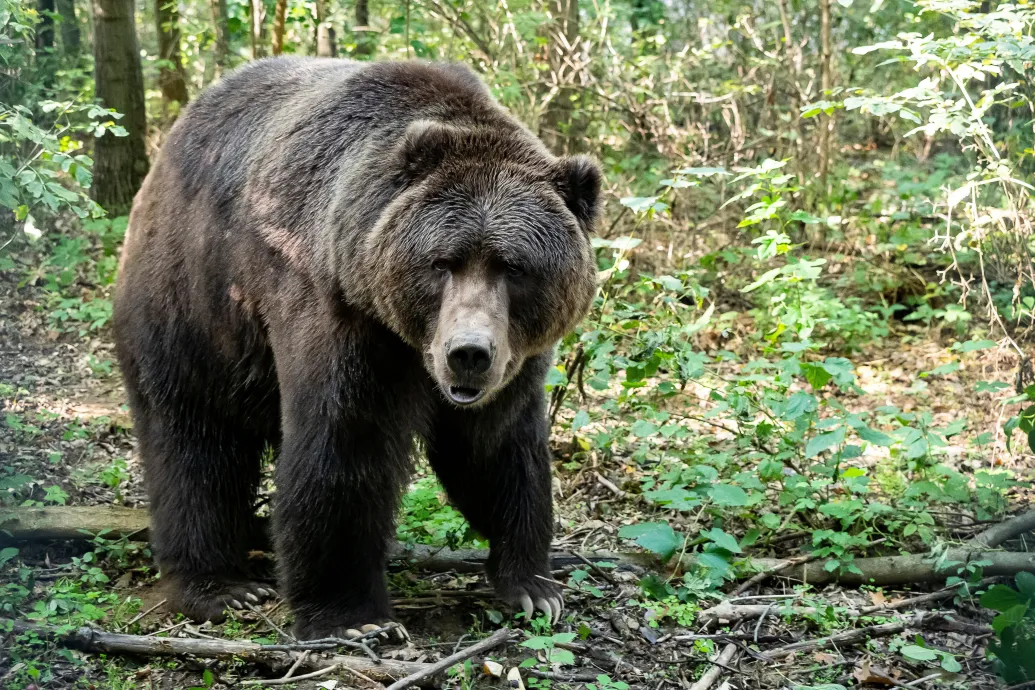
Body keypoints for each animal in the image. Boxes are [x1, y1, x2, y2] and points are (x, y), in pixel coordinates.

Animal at [112, 56, 600, 641]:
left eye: (515, 267)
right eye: (443, 262)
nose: (468, 353)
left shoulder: (514, 360)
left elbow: (497, 446)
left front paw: (533, 585)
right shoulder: (340, 313)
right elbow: (345, 443)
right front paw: (353, 616)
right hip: (192, 303)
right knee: (193, 439)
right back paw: (219, 585)